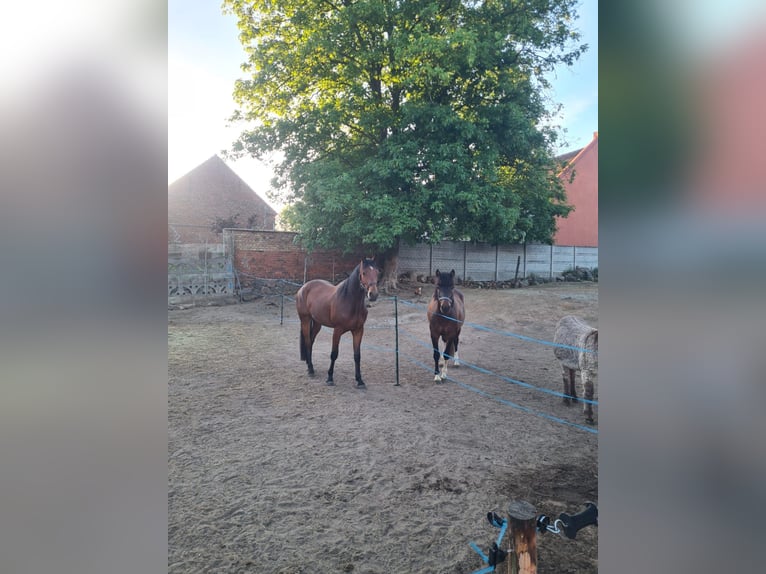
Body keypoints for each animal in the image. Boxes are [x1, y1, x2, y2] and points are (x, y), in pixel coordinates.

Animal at [295, 259, 379, 387]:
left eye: (377, 272)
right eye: (364, 273)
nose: (373, 294)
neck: (349, 300)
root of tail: (303, 287)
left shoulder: (358, 331)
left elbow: (357, 356)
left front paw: (359, 380)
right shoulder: (337, 330)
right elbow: (334, 354)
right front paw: (330, 378)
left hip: (317, 323)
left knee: (311, 341)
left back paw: (310, 366)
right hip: (305, 320)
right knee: (308, 342)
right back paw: (310, 370)